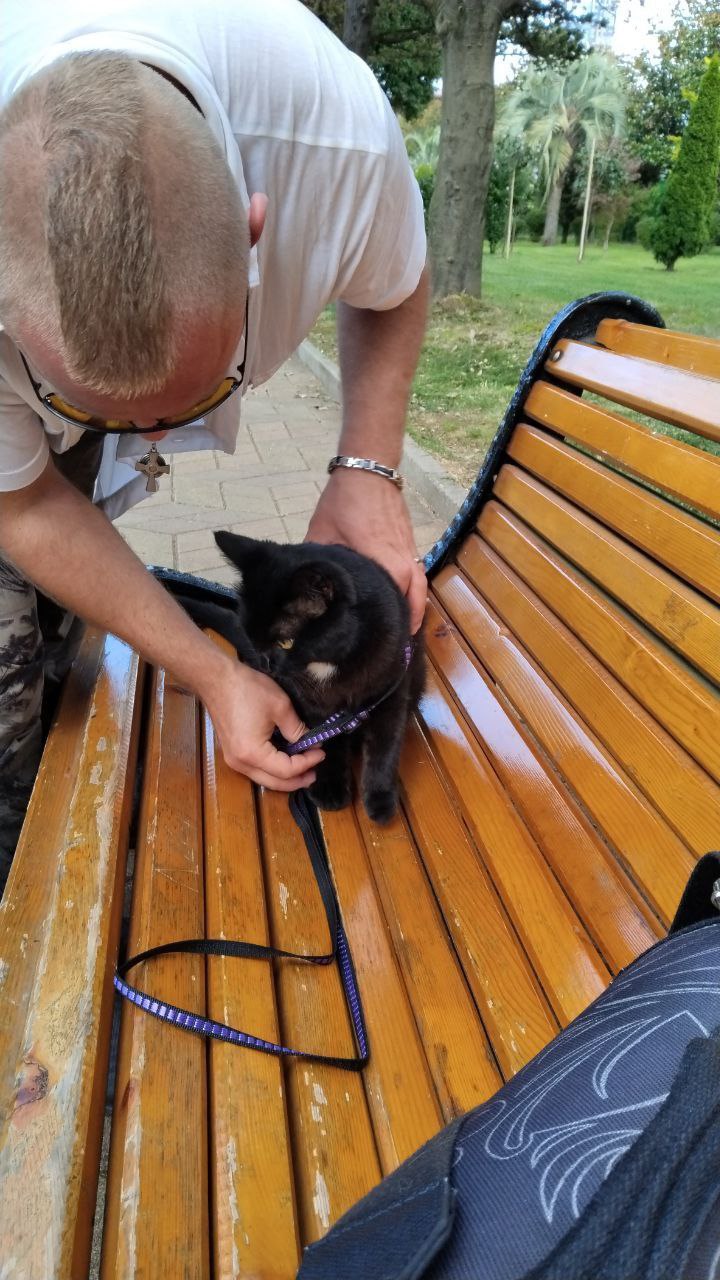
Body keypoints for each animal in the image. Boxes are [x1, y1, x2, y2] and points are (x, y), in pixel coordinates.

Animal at [172, 531, 426, 824]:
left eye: (285, 642)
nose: (264, 663)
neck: (326, 665)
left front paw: (380, 798)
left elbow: (385, 747)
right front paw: (329, 787)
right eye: (249, 634)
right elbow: (328, 743)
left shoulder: (392, 692)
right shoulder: (311, 704)